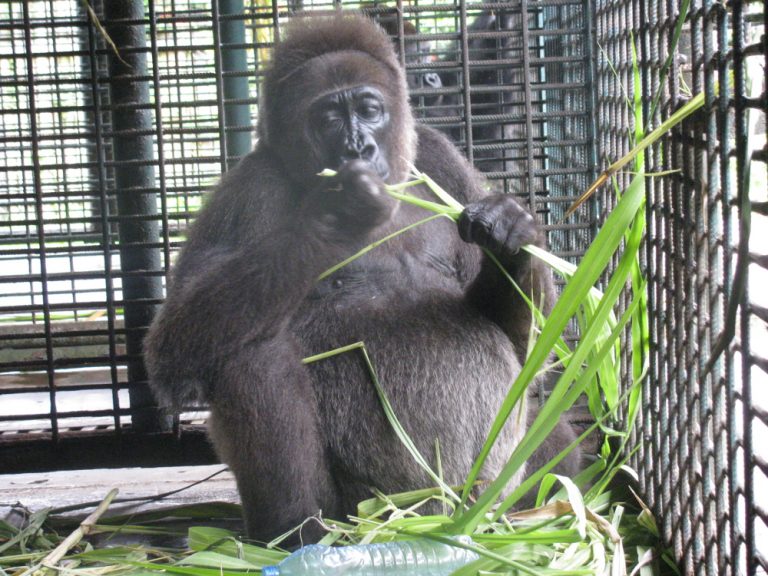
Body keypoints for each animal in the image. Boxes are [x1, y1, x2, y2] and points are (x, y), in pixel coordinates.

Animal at [142, 14, 576, 544]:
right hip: (358, 512)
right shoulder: (248, 187)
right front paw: (334, 215)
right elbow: (174, 346)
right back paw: (292, 531)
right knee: (251, 358)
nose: (359, 147)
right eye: (329, 117)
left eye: (370, 111)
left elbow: (524, 344)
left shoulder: (441, 158)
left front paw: (510, 235)